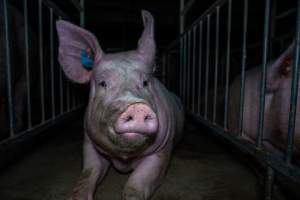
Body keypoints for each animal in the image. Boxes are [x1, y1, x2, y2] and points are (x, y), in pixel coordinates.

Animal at [55, 10, 184, 200]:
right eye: (103, 83)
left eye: (145, 82)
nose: (136, 106)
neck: (124, 157)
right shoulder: (89, 143)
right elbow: (89, 172)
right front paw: (77, 196)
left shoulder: (163, 149)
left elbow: (137, 182)